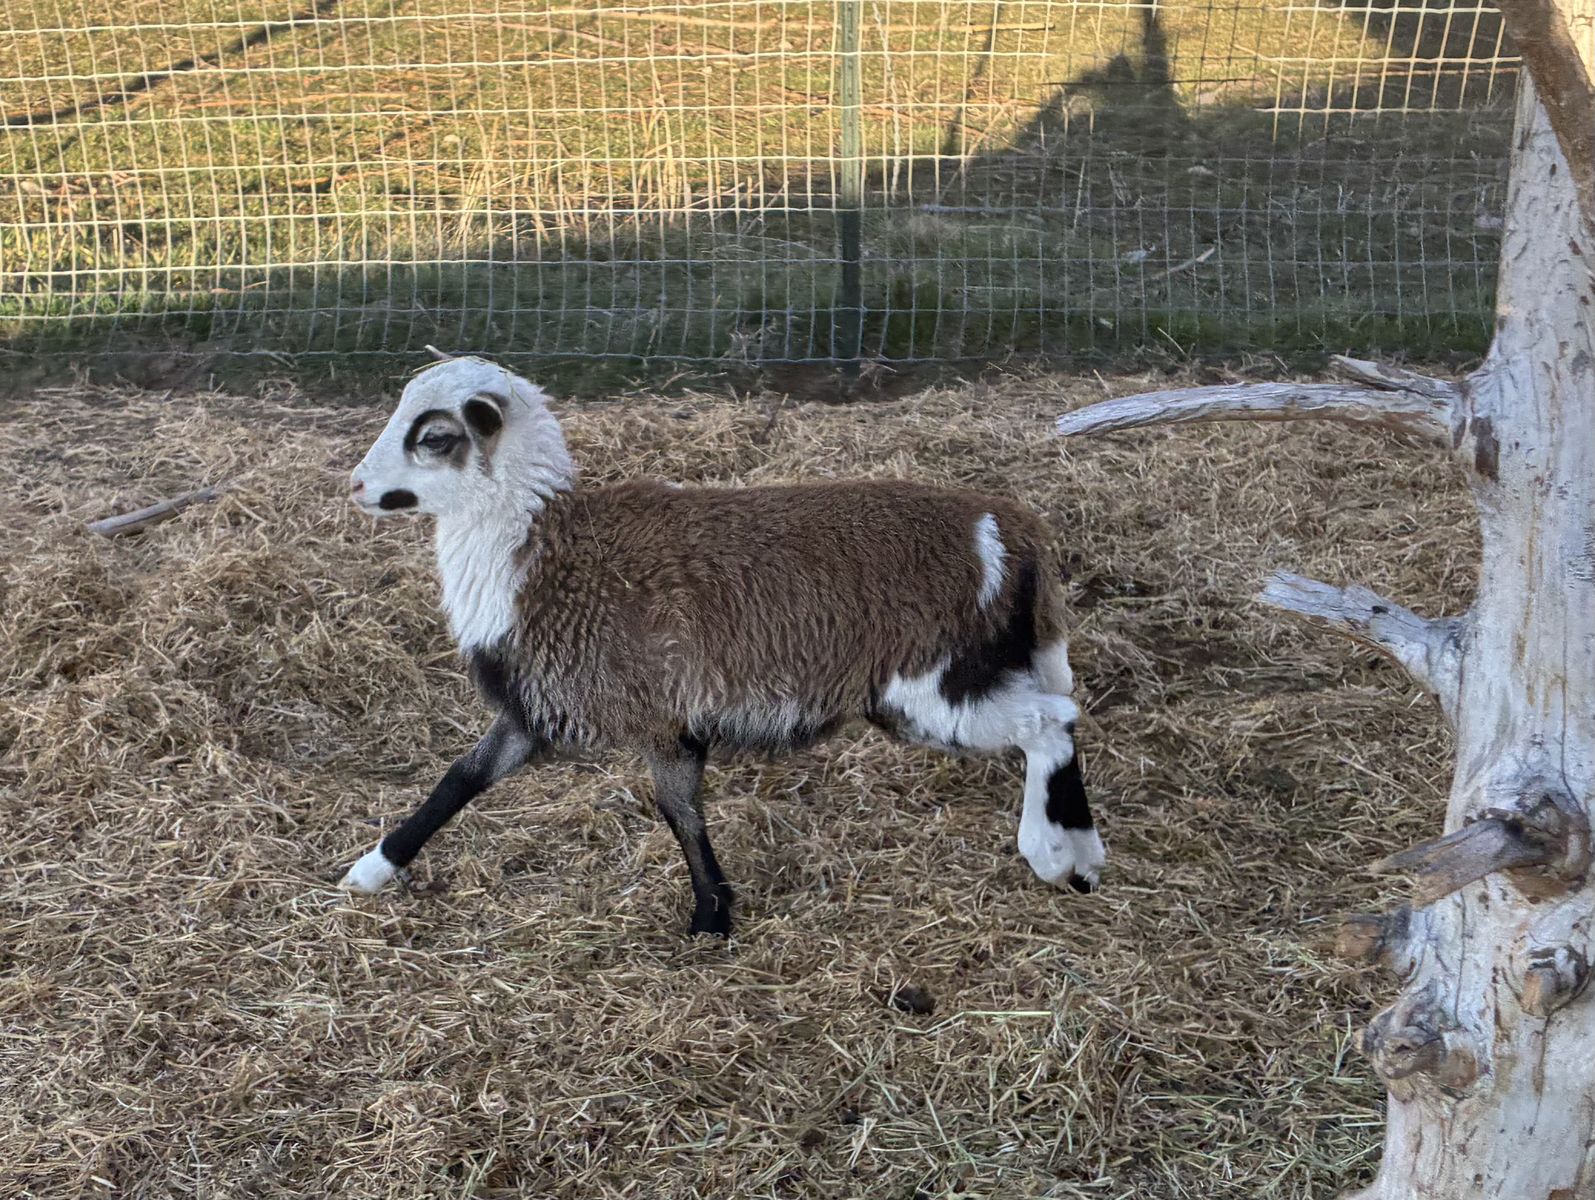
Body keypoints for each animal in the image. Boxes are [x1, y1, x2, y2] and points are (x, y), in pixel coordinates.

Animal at [339, 355, 1103, 936]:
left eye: (433, 437)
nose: (357, 486)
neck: (534, 551)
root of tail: (1005, 529)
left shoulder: (651, 710)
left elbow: (678, 812)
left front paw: (710, 916)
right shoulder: (545, 705)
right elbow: (461, 778)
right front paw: (371, 870)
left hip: (928, 682)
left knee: (1048, 724)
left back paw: (1050, 856)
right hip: (987, 663)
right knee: (1061, 715)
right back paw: (1084, 857)